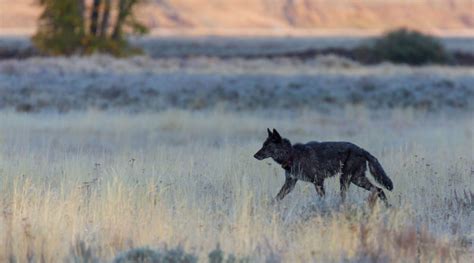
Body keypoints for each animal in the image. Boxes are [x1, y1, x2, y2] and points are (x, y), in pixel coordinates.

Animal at [254, 129, 394, 205]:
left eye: (267, 146)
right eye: (263, 145)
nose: (255, 155)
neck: (292, 155)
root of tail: (362, 150)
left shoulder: (318, 181)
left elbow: (322, 199)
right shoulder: (290, 184)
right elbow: (277, 197)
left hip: (346, 180)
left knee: (348, 197)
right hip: (357, 179)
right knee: (379, 190)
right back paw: (388, 207)